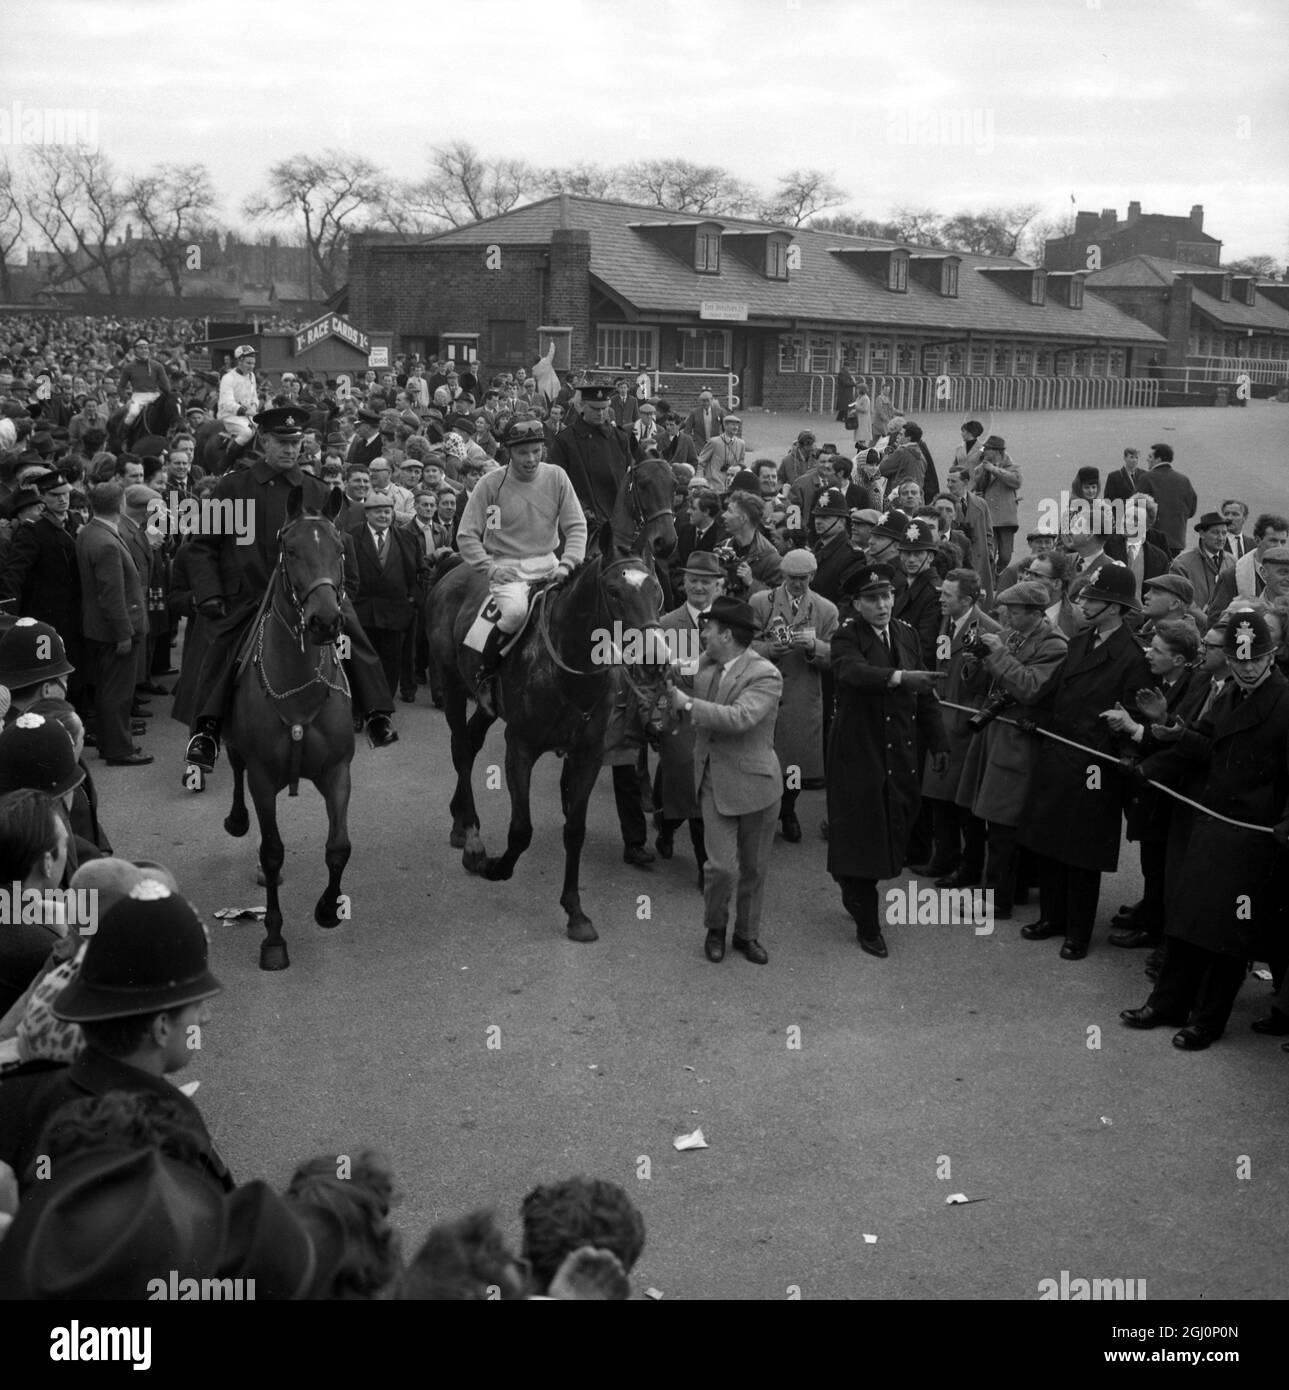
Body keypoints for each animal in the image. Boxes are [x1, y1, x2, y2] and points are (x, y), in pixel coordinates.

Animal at [219, 494, 355, 973]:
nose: (325, 622)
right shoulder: (262, 778)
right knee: (236, 772)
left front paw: (328, 909)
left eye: (340, 548)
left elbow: (338, 846)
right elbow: (273, 852)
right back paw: (238, 820)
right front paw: (274, 939)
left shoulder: (338, 772)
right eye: (290, 550)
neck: (298, 685)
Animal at [428, 455, 681, 945]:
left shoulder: (587, 753)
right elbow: (521, 829)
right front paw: (494, 865)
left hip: (487, 706)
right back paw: (471, 836)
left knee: (471, 740)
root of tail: (453, 571)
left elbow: (575, 829)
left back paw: (457, 819)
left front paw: (575, 911)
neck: (568, 669)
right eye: (615, 592)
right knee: (460, 749)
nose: (655, 661)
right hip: (450, 685)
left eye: (655, 593)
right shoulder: (520, 746)